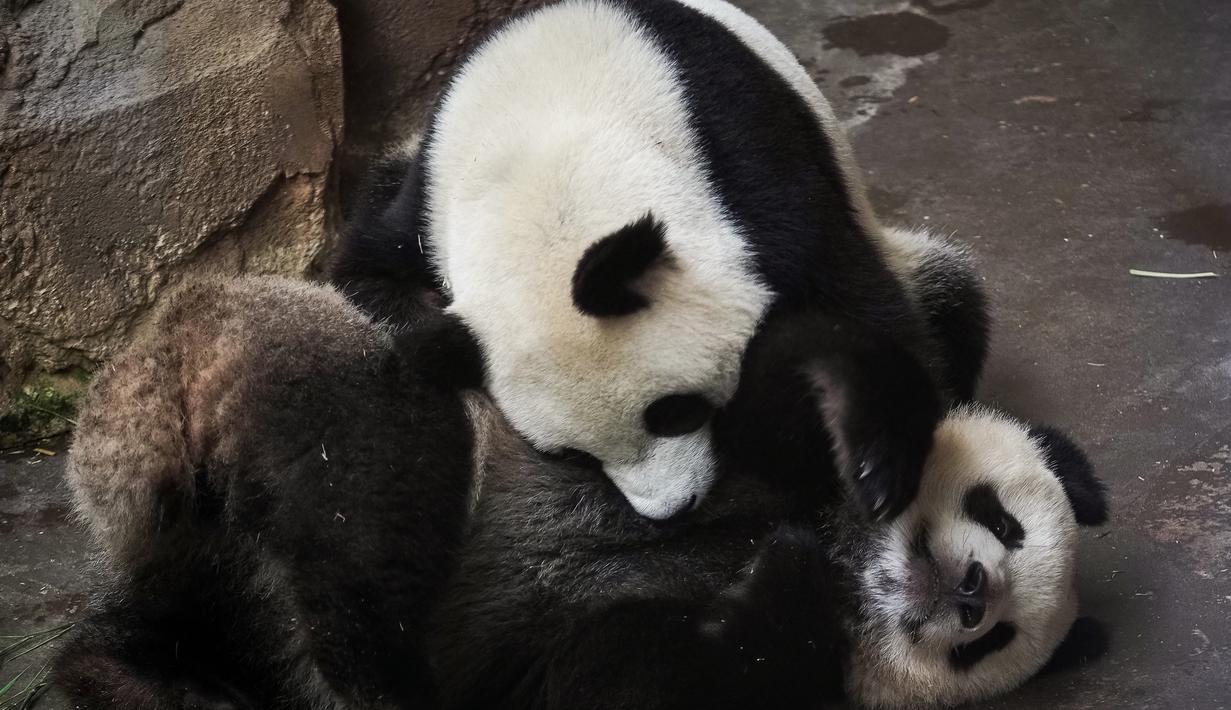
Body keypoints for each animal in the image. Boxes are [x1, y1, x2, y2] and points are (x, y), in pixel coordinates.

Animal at [331, 0, 985, 521]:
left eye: (673, 412)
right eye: (574, 455)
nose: (673, 509)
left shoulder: (743, 153)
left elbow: (848, 297)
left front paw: (868, 460)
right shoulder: (426, 199)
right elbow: (368, 279)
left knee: (953, 302)